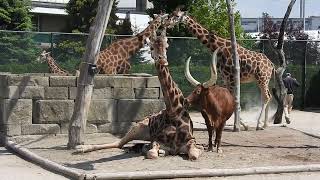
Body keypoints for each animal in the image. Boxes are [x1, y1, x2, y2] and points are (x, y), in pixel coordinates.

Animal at [74, 27, 202, 160]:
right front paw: (152, 151)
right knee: (119, 143)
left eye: (166, 46)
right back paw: (80, 148)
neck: (174, 112)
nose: (162, 60)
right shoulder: (157, 140)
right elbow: (152, 154)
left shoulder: (191, 141)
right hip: (138, 127)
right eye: (151, 48)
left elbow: (194, 155)